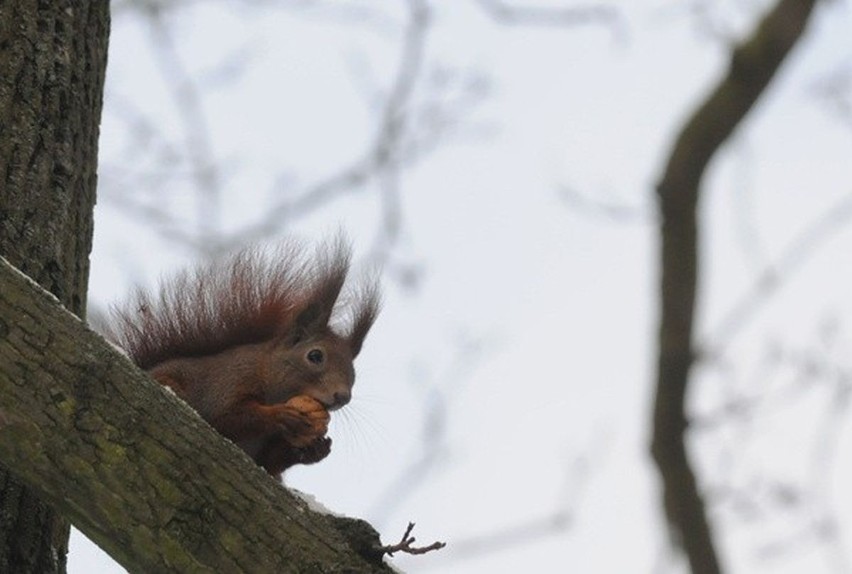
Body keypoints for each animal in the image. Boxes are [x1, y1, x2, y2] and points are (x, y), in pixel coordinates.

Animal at [104, 238, 380, 482]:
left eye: (353, 372)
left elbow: (271, 462)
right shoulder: (229, 381)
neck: (267, 374)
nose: (342, 397)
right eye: (315, 356)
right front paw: (280, 415)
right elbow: (227, 417)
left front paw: (315, 449)